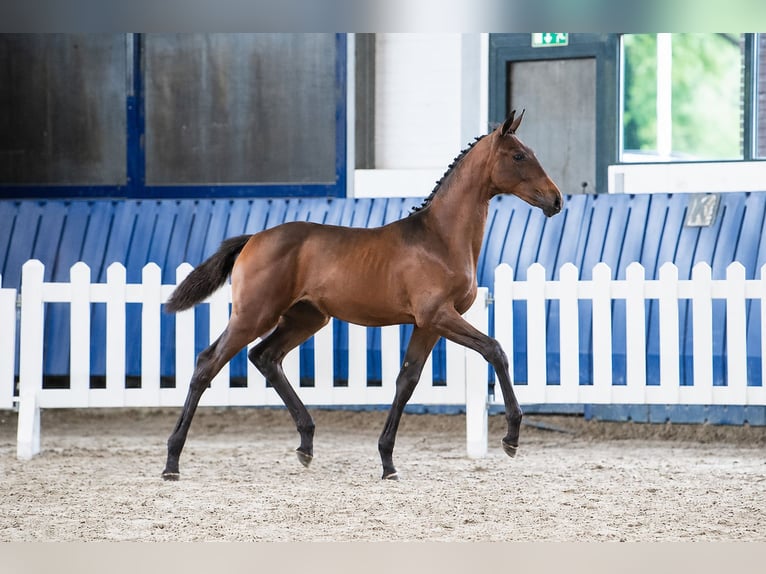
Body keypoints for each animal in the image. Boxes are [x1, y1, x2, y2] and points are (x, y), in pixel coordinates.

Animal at [161, 109, 562, 481]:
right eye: (519, 156)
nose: (556, 200)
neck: (440, 239)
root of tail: (252, 239)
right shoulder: (439, 316)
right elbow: (495, 350)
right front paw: (511, 437)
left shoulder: (427, 325)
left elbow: (406, 381)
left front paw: (387, 462)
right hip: (253, 315)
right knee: (207, 364)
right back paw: (172, 462)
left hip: (307, 318)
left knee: (265, 356)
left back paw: (306, 444)